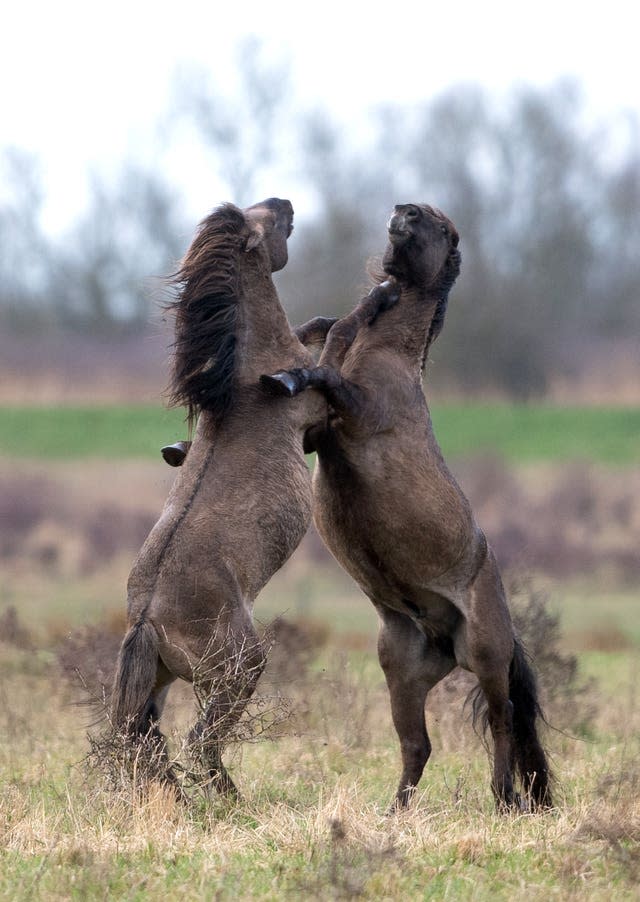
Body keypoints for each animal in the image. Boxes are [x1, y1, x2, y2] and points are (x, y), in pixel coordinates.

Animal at [110, 200, 332, 800]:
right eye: (267, 223)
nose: (287, 204)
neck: (248, 373)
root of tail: (147, 621)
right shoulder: (316, 417)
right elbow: (327, 349)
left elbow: (316, 329)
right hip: (240, 669)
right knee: (200, 742)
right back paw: (230, 802)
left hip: (161, 683)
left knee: (150, 744)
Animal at [262, 203, 552, 812]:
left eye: (442, 228)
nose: (404, 211)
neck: (387, 357)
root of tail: (445, 639)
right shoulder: (317, 437)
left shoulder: (348, 418)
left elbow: (328, 362)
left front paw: (295, 371)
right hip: (401, 670)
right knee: (418, 744)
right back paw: (395, 812)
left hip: (486, 655)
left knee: (503, 718)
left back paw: (506, 799)